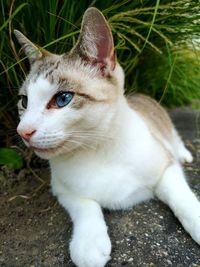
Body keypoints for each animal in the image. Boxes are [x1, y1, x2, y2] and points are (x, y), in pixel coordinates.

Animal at [14, 5, 199, 267]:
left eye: (62, 98)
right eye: (24, 101)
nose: (23, 131)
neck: (97, 148)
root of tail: (139, 94)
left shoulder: (166, 165)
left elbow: (181, 198)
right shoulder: (62, 189)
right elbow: (85, 206)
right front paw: (89, 241)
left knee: (175, 139)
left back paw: (184, 153)